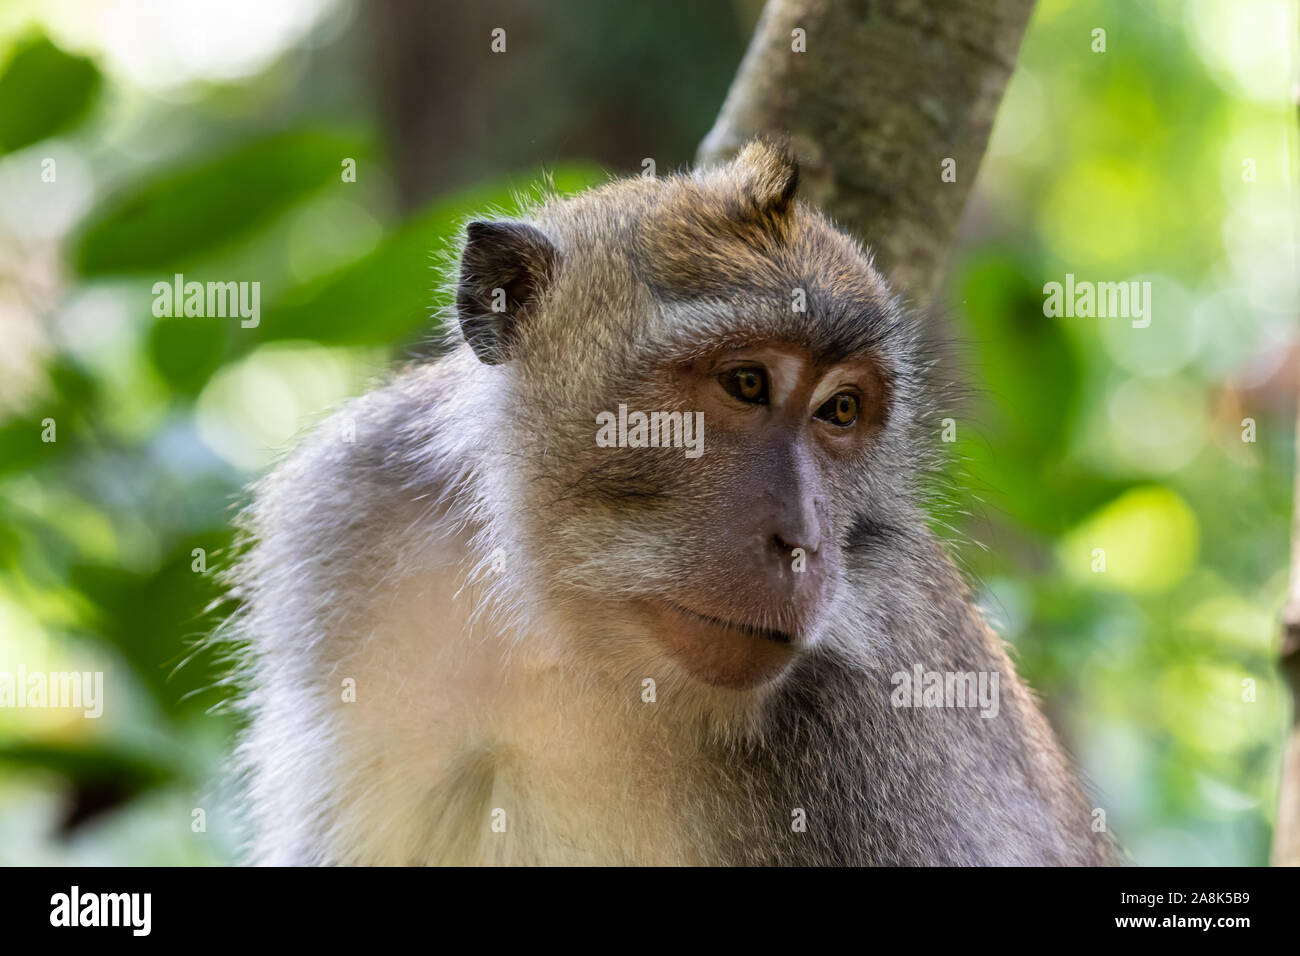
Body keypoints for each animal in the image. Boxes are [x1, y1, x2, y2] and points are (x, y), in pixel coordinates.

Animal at [226, 141, 1118, 868]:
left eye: (839, 410)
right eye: (746, 383)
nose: (804, 540)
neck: (568, 638)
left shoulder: (890, 706)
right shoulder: (352, 516)